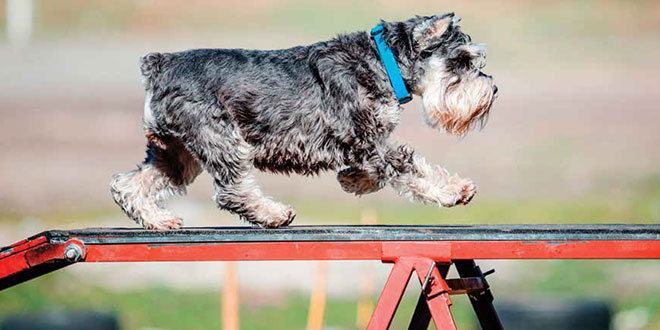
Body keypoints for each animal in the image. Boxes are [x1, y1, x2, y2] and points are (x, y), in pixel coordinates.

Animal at [111, 12, 498, 229]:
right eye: (462, 60)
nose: (492, 89)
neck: (382, 62)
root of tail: (160, 64)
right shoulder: (368, 142)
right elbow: (409, 169)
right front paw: (453, 190)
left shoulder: (368, 143)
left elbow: (384, 169)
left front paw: (352, 180)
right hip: (222, 140)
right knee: (232, 192)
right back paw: (272, 213)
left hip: (177, 153)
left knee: (128, 184)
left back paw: (159, 220)